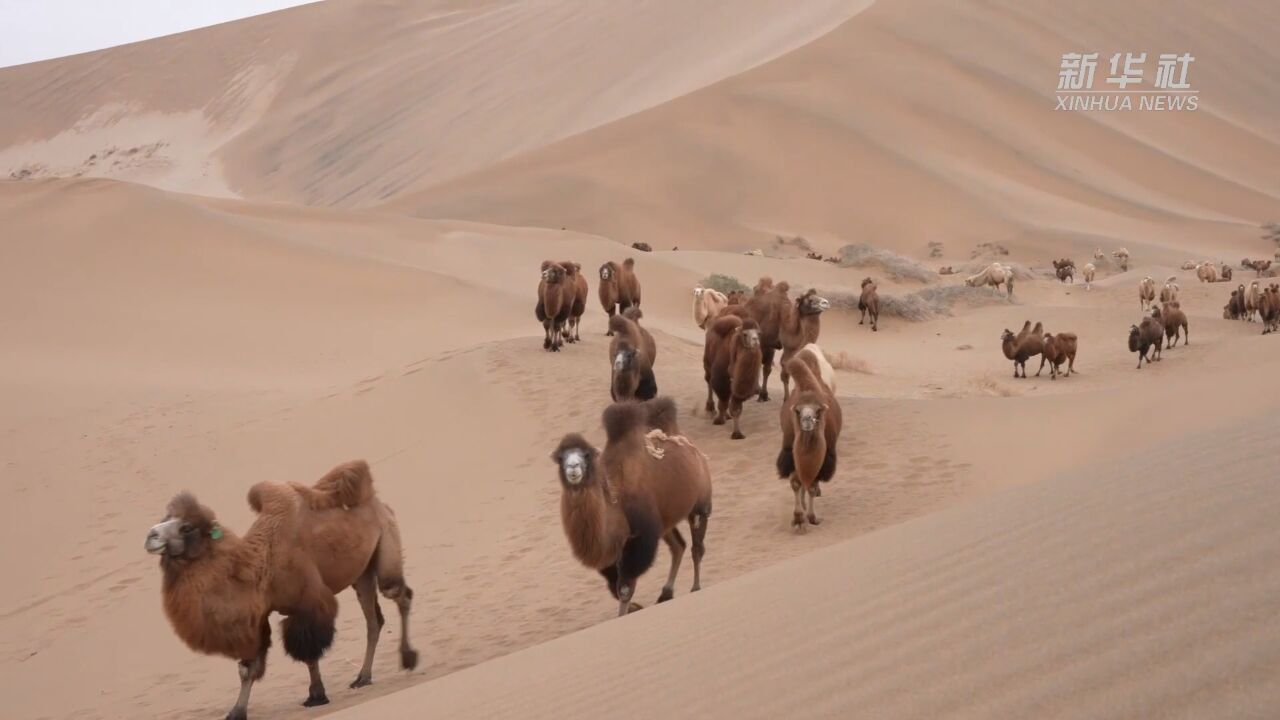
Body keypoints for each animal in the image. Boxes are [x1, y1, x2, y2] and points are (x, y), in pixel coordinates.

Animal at [145, 458, 417, 717]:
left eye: (186, 527)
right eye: (164, 519)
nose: (151, 536)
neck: (260, 567)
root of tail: (379, 504)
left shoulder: (309, 603)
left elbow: (308, 651)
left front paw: (316, 696)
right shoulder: (259, 618)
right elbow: (248, 668)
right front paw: (236, 711)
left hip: (387, 546)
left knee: (399, 595)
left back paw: (408, 658)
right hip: (361, 575)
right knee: (374, 621)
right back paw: (363, 677)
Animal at [550, 394, 711, 614]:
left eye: (586, 455)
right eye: (560, 458)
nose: (572, 467)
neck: (614, 506)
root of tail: (692, 447)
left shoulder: (640, 537)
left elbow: (625, 588)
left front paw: (625, 612)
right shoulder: (612, 548)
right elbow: (614, 586)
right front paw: (635, 607)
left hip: (701, 503)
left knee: (697, 547)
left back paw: (696, 587)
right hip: (664, 521)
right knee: (679, 546)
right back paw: (665, 594)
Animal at [773, 351, 844, 530]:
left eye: (818, 411)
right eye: (798, 411)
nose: (807, 421)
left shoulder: (824, 458)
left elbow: (810, 485)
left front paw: (812, 517)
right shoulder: (790, 454)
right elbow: (796, 484)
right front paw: (798, 518)